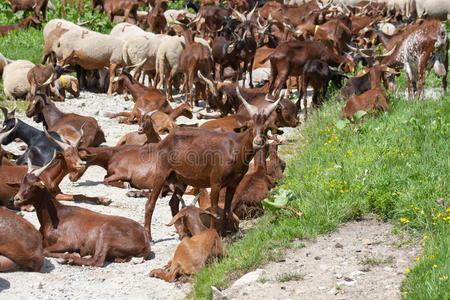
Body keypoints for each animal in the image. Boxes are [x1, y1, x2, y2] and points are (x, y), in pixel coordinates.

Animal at [11, 155, 151, 268]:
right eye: (22, 183)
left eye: (34, 185)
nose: (16, 199)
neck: (56, 217)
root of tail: (145, 240)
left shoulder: (68, 242)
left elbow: (45, 251)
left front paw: (69, 254)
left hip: (106, 235)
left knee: (97, 260)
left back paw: (68, 259)